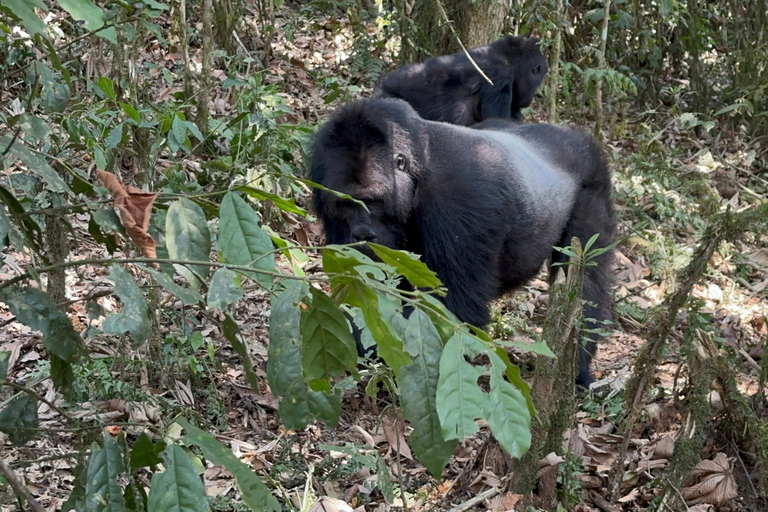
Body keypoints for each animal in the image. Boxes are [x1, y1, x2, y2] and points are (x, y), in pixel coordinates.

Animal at [308, 98, 616, 386]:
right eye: (345, 204)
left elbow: (448, 308)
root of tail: (572, 135)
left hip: (594, 178)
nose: (361, 234)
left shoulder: (460, 200)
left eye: (372, 201)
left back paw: (577, 368)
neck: (419, 165)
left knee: (586, 279)